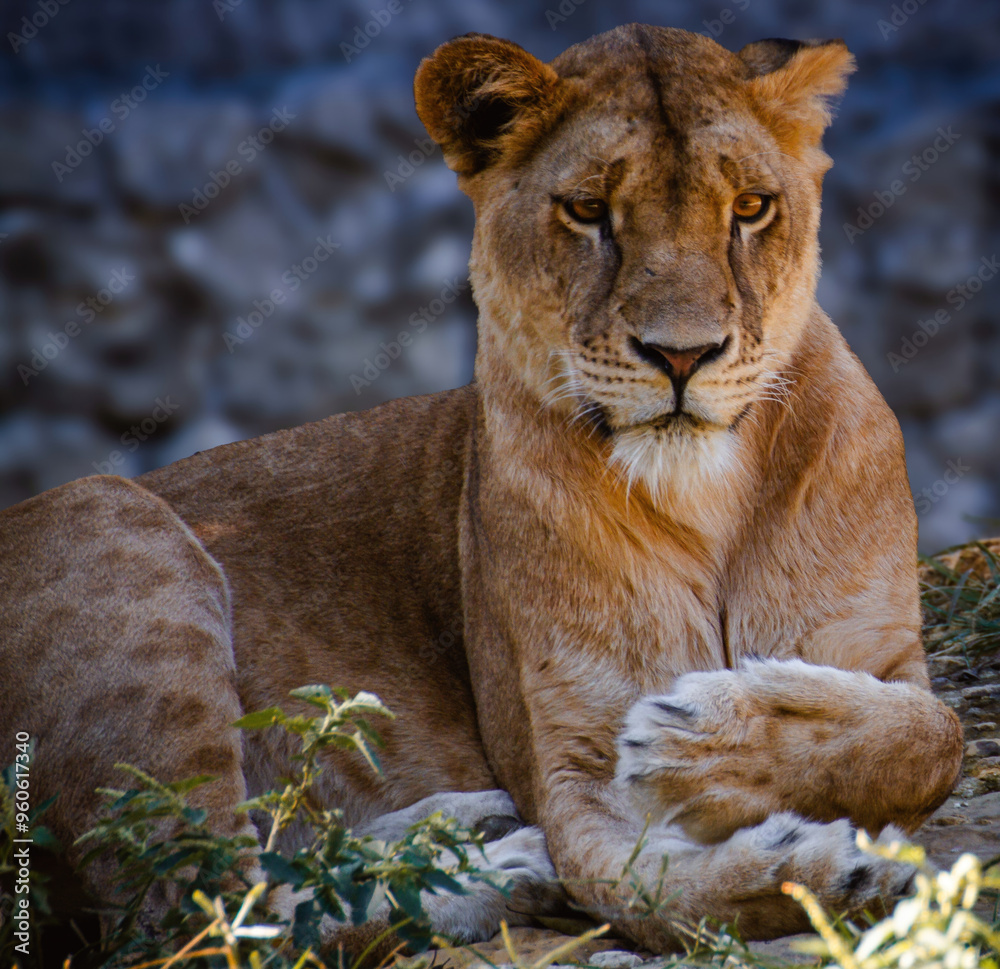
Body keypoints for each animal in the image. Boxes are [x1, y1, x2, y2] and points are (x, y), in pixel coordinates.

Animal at [0, 23, 964, 961]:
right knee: (198, 912)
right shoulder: (570, 763)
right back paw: (493, 870)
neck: (708, 501)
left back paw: (460, 826)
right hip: (110, 512)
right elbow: (654, 897)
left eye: (752, 208)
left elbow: (931, 736)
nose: (683, 354)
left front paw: (716, 738)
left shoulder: (884, 654)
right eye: (588, 211)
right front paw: (827, 868)